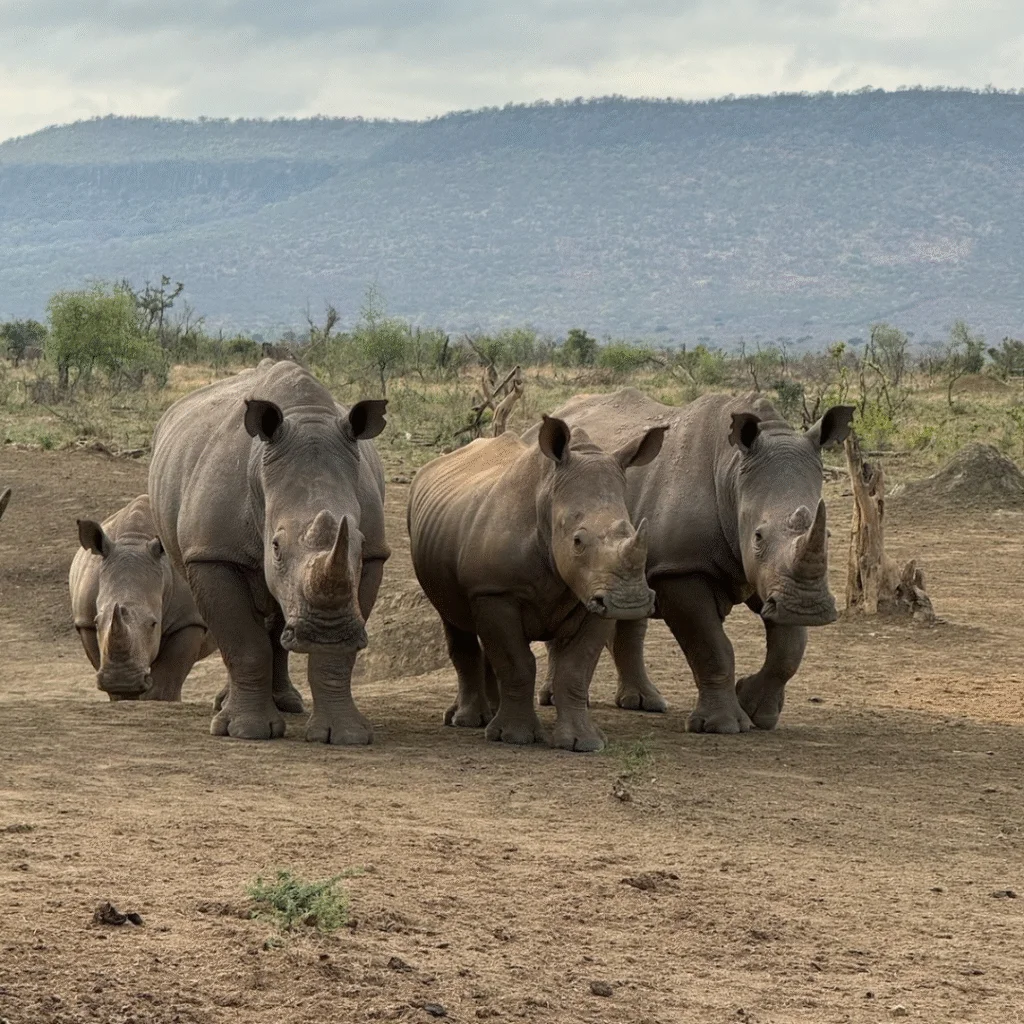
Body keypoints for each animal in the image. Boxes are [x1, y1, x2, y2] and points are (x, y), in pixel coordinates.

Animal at [69, 495, 218, 700]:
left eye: (154, 624)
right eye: (97, 621)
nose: (121, 680)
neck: (133, 540)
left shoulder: (188, 619)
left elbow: (166, 682)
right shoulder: (85, 622)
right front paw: (123, 693)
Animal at [148, 359, 389, 743]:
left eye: (360, 542)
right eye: (275, 546)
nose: (326, 630)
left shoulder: (374, 556)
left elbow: (338, 657)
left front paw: (345, 735)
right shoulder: (213, 552)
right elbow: (242, 641)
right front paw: (245, 731)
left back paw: (287, 703)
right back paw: (228, 708)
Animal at [408, 416, 666, 751]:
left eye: (633, 530)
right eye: (577, 541)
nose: (629, 602)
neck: (548, 500)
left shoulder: (595, 597)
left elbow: (576, 668)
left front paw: (583, 742)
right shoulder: (495, 591)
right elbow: (517, 663)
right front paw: (515, 737)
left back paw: (489, 714)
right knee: (453, 620)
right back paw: (468, 720)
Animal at [524, 389, 853, 733]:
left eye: (828, 534)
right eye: (758, 536)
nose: (808, 609)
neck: (733, 473)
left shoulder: (776, 579)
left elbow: (789, 648)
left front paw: (756, 711)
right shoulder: (681, 568)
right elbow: (711, 646)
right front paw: (722, 726)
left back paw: (645, 703)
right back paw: (556, 699)